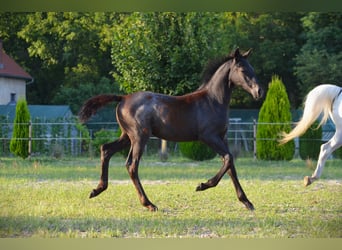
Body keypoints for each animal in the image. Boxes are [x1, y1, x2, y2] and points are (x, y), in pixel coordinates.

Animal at [79, 48, 264, 211]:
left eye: (252, 69)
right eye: (242, 69)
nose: (259, 91)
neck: (213, 101)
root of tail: (123, 98)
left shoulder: (222, 137)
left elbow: (230, 165)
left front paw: (247, 202)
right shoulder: (208, 136)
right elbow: (228, 158)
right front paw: (202, 185)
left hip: (127, 136)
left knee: (106, 149)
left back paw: (97, 189)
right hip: (140, 137)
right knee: (131, 165)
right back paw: (148, 204)